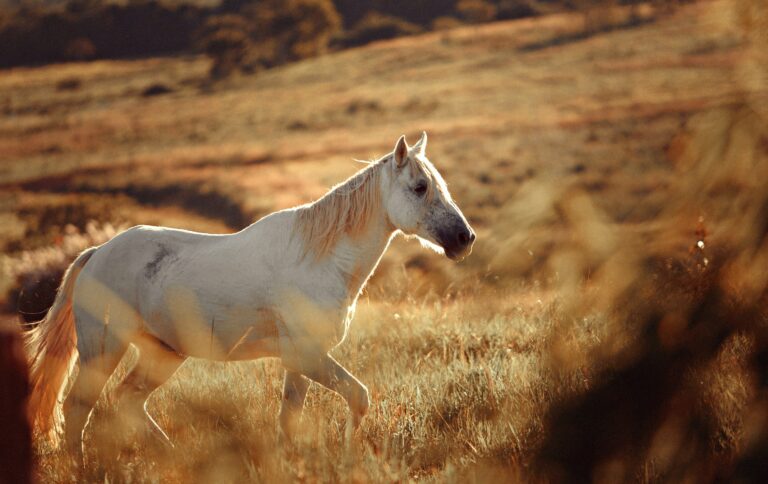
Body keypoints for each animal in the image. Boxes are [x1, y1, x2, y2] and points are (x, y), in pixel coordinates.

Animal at [25, 132, 476, 455]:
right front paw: (350, 455)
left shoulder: (300, 362)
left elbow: (289, 420)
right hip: (103, 349)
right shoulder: (307, 356)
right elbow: (359, 397)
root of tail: (97, 253)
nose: (464, 239)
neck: (320, 259)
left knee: (127, 402)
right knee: (77, 410)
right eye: (419, 187)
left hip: (162, 354)